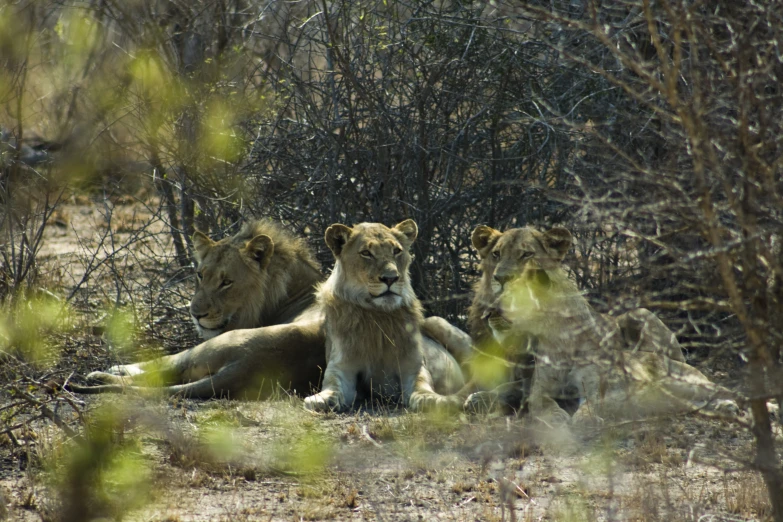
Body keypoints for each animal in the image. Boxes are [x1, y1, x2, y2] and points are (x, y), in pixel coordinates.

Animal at [304, 219, 468, 410]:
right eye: (366, 253)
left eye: (396, 251)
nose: (391, 278)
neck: (379, 316)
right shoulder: (341, 366)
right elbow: (333, 383)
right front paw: (323, 398)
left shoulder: (413, 366)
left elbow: (421, 385)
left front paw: (431, 399)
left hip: (436, 322)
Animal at [460, 223, 736, 422]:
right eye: (496, 254)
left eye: (526, 254)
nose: (500, 279)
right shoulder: (539, 385)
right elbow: (532, 397)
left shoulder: (596, 387)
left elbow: (586, 408)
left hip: (642, 318)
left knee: (721, 390)